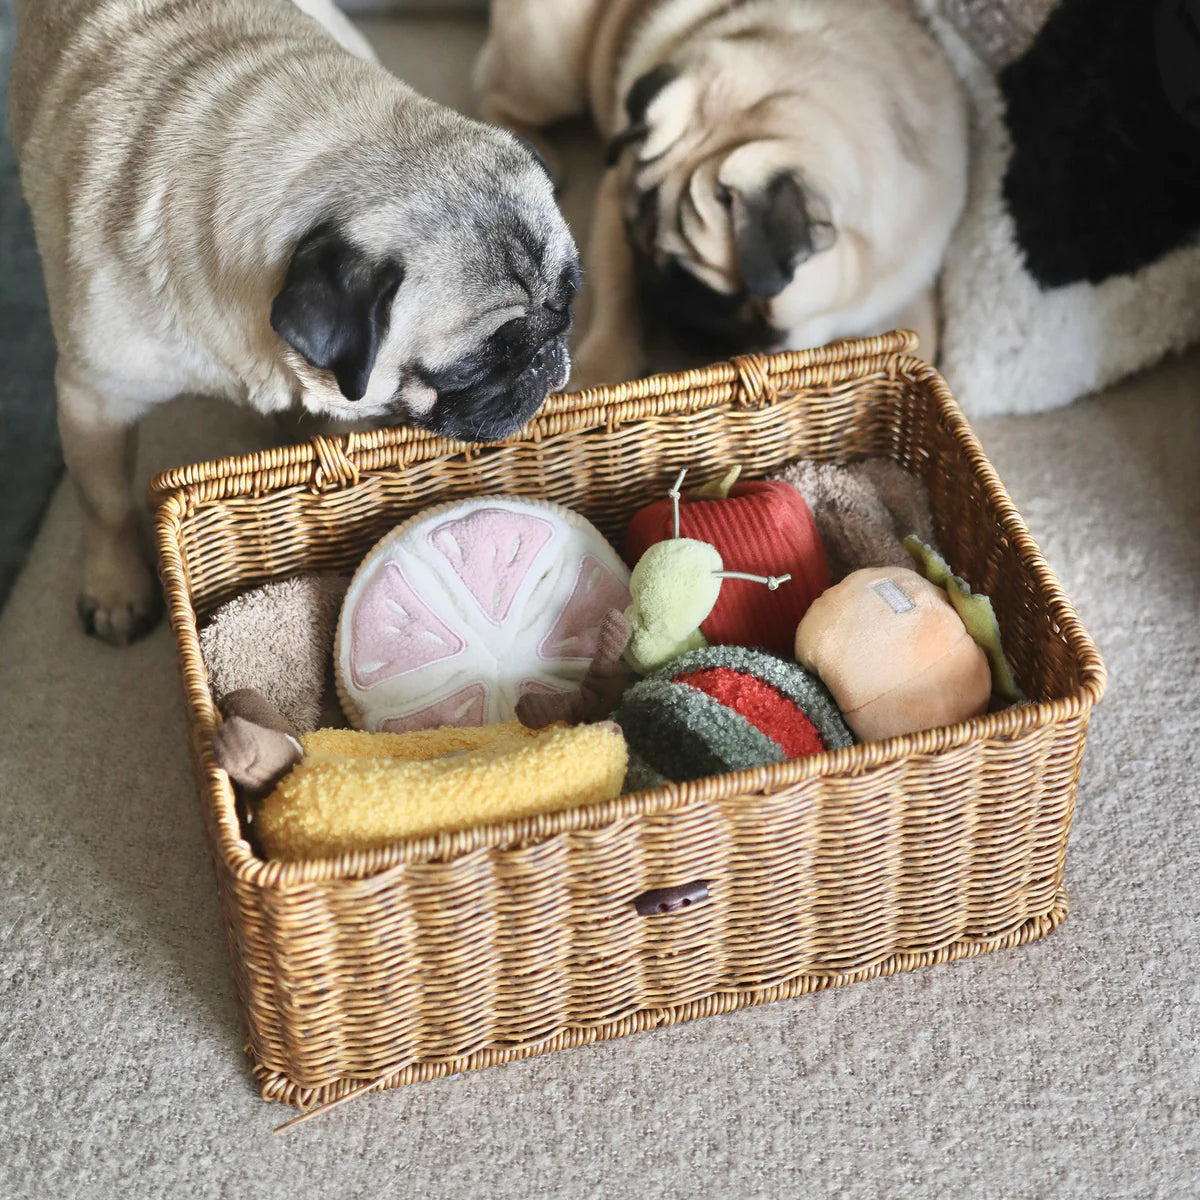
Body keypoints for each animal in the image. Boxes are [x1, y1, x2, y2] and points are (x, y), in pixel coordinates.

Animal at [8, 0, 580, 648]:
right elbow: (105, 504)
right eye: (472, 368)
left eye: (568, 302)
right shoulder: (95, 398)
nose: (548, 355)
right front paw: (116, 589)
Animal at [472, 0, 969, 386]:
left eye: (702, 290)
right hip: (550, 61)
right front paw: (604, 369)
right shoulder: (614, 196)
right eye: (634, 246)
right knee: (494, 92)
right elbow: (617, 298)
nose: (657, 295)